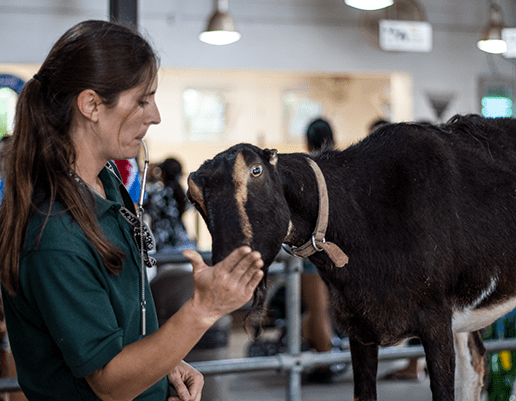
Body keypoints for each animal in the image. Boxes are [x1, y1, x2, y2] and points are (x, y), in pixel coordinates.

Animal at [187, 114, 516, 398]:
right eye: (194, 198)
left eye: (255, 171)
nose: (228, 270)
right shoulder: (359, 327)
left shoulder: (435, 321)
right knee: (475, 361)